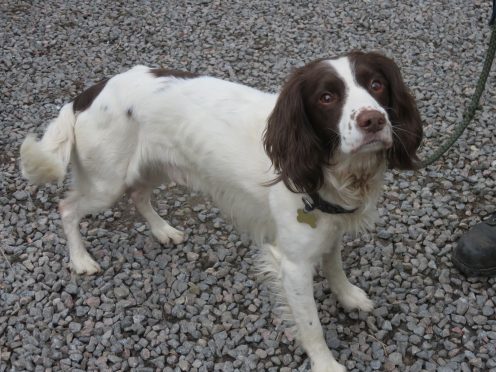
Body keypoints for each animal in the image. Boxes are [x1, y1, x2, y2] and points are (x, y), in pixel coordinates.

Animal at [20, 51, 422, 372]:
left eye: (377, 84)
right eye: (326, 97)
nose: (373, 120)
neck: (329, 172)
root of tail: (87, 95)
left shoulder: (330, 226)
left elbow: (336, 265)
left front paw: (349, 296)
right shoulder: (292, 263)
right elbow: (312, 327)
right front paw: (327, 365)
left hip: (152, 166)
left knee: (138, 196)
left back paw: (163, 230)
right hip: (106, 182)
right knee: (67, 207)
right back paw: (80, 259)